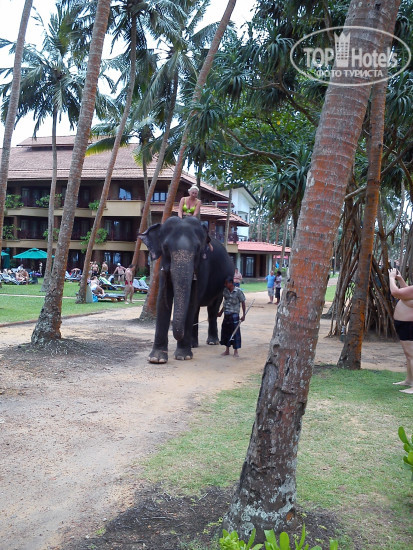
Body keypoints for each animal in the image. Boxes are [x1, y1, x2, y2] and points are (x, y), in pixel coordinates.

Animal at [139, 216, 235, 363]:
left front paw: (183, 356)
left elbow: (191, 302)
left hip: (222, 285)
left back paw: (212, 342)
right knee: (197, 310)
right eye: (165, 247)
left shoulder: (202, 268)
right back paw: (194, 344)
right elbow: (162, 300)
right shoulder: (162, 267)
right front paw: (156, 359)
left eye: (198, 248)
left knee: (212, 308)